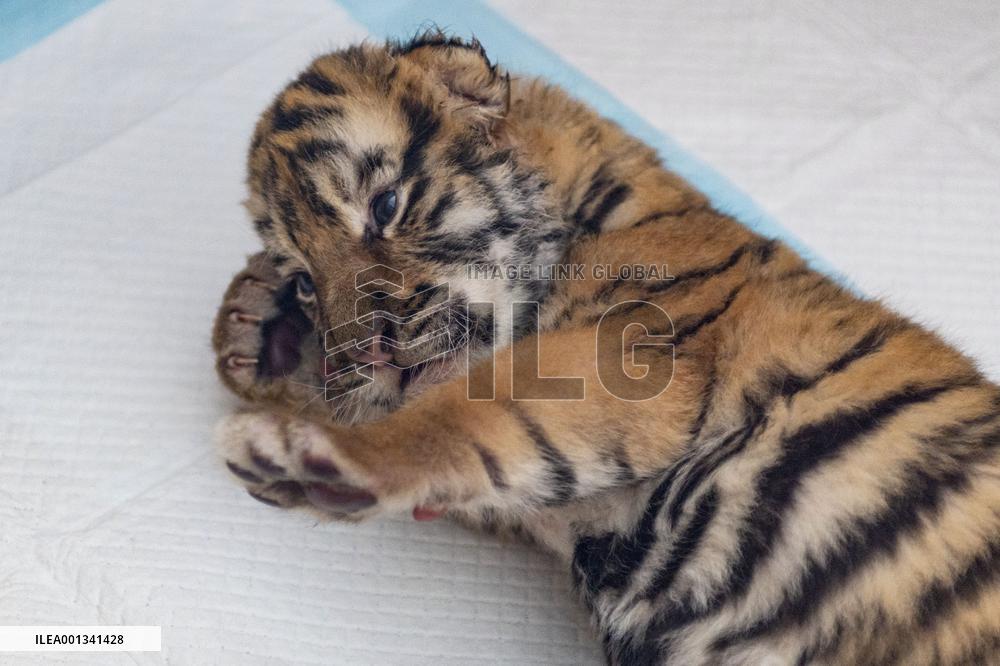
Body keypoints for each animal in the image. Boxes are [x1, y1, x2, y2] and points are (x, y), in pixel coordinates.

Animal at [211, 33, 1000, 664]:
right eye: (307, 282)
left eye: (385, 206)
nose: (364, 358)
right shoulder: (560, 507)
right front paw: (259, 328)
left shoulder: (634, 362)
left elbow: (471, 413)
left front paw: (309, 452)